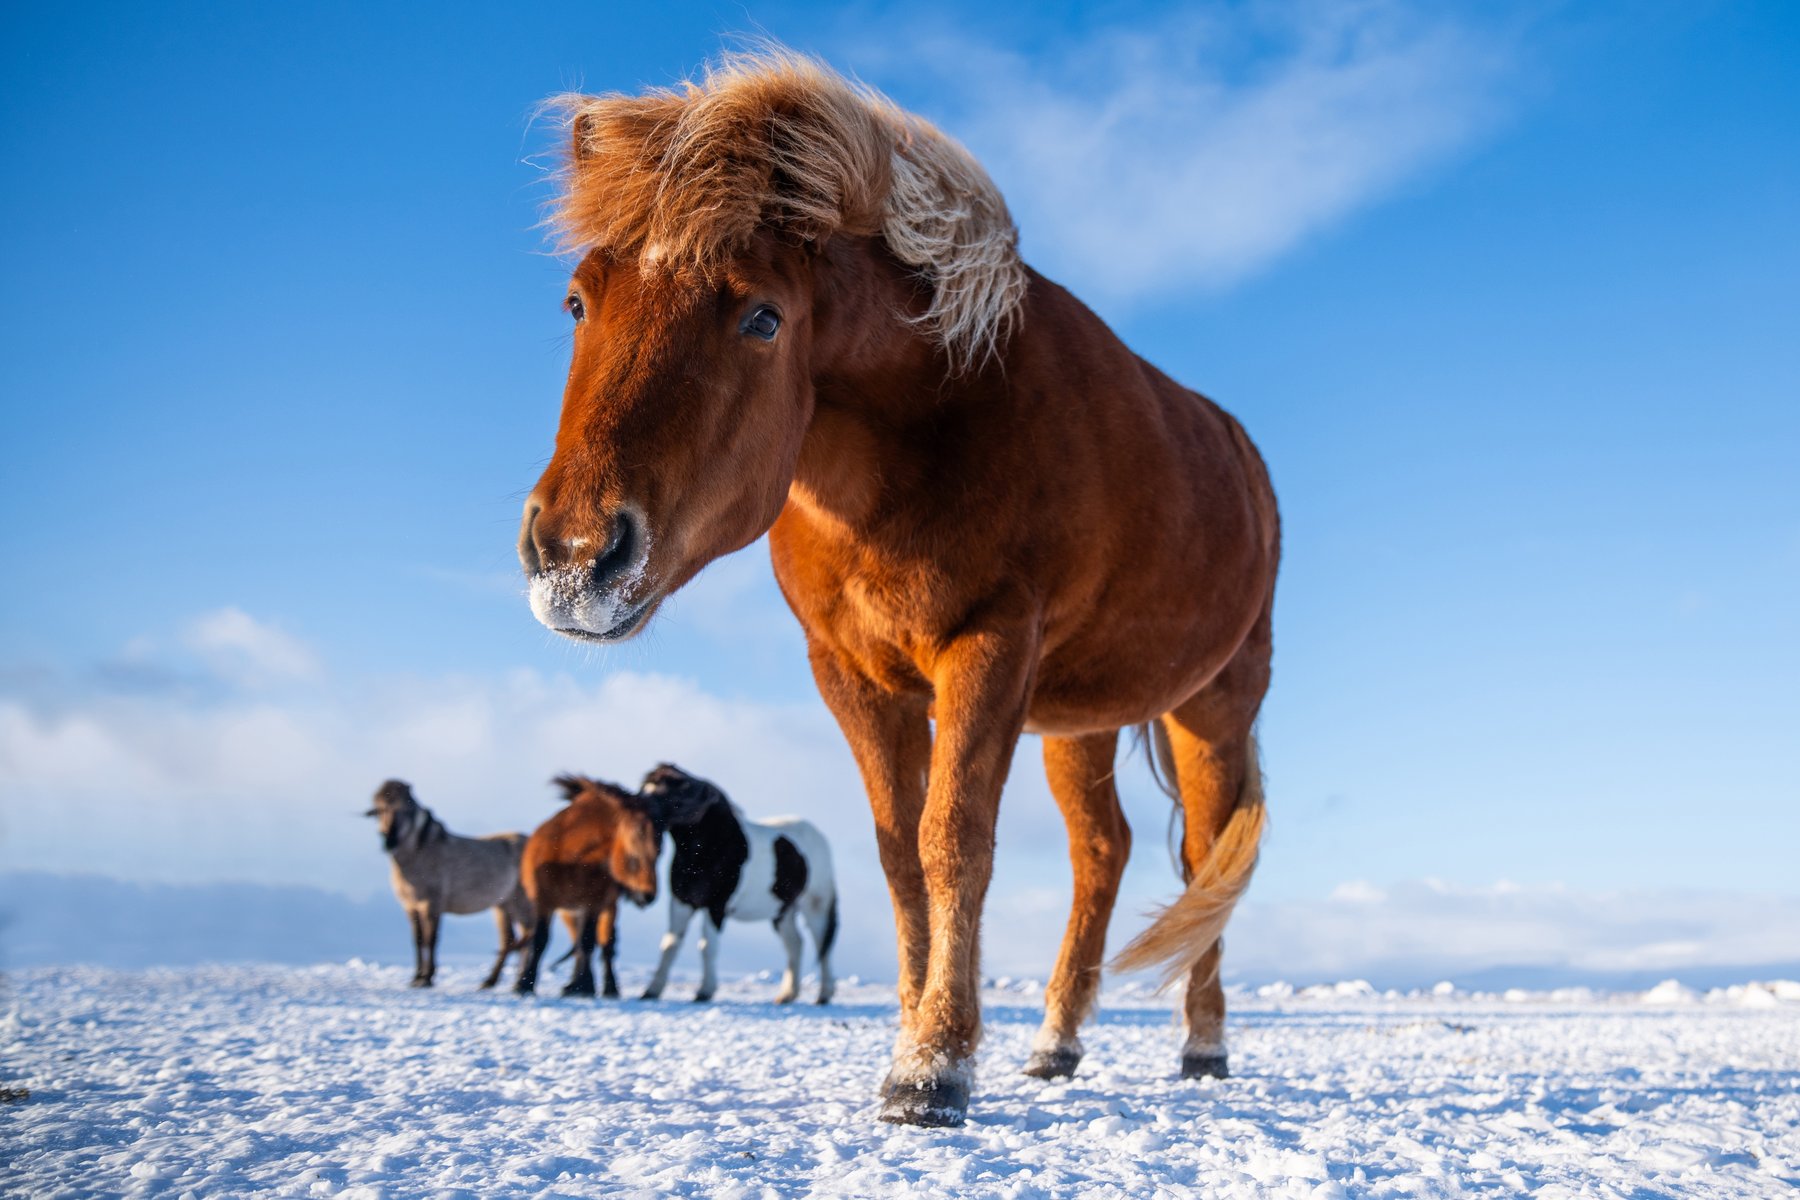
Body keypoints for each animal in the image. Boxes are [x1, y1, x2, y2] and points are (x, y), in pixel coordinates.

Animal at [365, 780, 534, 989]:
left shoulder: (432, 904)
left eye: (407, 810)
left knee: (530, 939)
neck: (419, 854)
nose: (389, 840)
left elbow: (431, 939)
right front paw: (416, 977)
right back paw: (494, 981)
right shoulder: (410, 906)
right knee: (511, 940)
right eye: (379, 810)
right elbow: (417, 940)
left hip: (522, 903)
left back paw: (522, 983)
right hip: (504, 905)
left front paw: (427, 977)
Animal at [512, 774, 662, 998]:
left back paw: (608, 987)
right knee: (577, 942)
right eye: (634, 856)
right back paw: (572, 984)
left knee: (605, 945)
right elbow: (540, 940)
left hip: (607, 907)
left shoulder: (593, 903)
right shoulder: (543, 901)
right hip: (568, 911)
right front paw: (525, 984)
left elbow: (589, 942)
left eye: (659, 853)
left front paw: (584, 986)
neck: (570, 855)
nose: (647, 895)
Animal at [636, 763, 838, 1005]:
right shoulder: (681, 903)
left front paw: (705, 991)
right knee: (795, 944)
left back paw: (824, 995)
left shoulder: (717, 906)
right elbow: (669, 945)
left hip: (815, 907)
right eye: (645, 787)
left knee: (822, 945)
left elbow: (707, 946)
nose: (639, 809)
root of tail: (820, 838)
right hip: (783, 911)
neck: (711, 848)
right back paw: (787, 995)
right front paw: (651, 991)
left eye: (681, 791)